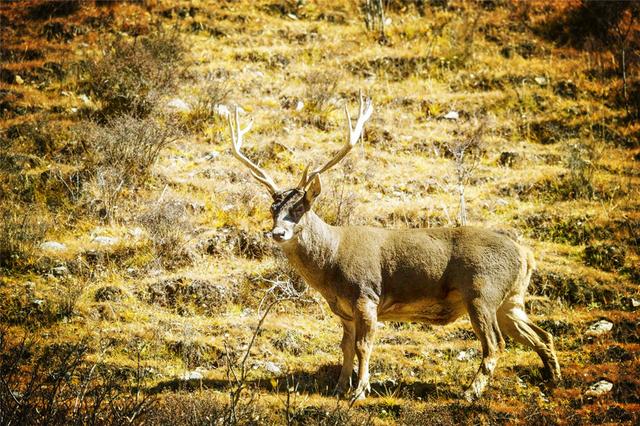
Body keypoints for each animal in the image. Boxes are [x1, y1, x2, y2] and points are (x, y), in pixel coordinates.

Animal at [226, 93, 560, 402]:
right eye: (273, 209)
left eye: (299, 208)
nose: (277, 232)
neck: (331, 264)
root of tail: (526, 255)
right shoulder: (344, 310)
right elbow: (345, 348)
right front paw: (339, 387)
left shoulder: (366, 295)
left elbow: (364, 346)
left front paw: (360, 391)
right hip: (511, 299)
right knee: (541, 334)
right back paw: (552, 379)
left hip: (482, 290)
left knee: (495, 343)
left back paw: (470, 392)